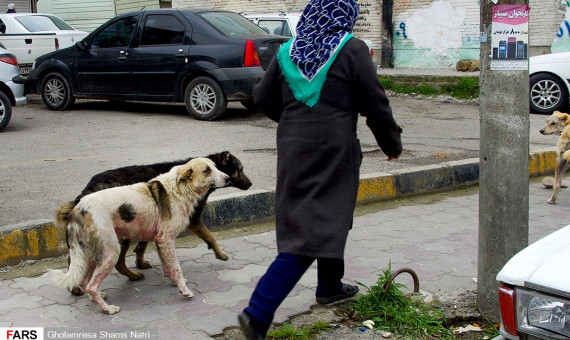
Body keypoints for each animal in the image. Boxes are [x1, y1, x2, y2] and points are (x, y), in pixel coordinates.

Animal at [47, 158, 229, 314]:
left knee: (86, 283)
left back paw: (97, 296)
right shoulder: (167, 240)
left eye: (216, 167)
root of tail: (77, 209)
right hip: (110, 252)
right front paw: (184, 290)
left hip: (91, 254)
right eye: (207, 170)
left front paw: (175, 282)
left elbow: (168, 266)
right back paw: (108, 309)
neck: (179, 189)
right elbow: (176, 267)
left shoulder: (161, 240)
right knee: (92, 285)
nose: (227, 178)